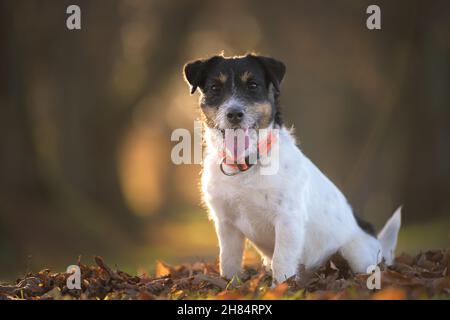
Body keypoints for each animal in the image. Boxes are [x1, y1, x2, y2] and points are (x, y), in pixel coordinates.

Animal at [183, 53, 400, 284]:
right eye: (215, 87)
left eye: (253, 85)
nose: (234, 113)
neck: (246, 165)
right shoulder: (226, 224)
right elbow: (228, 261)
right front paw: (230, 285)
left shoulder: (288, 220)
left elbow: (282, 260)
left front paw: (281, 287)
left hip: (355, 252)